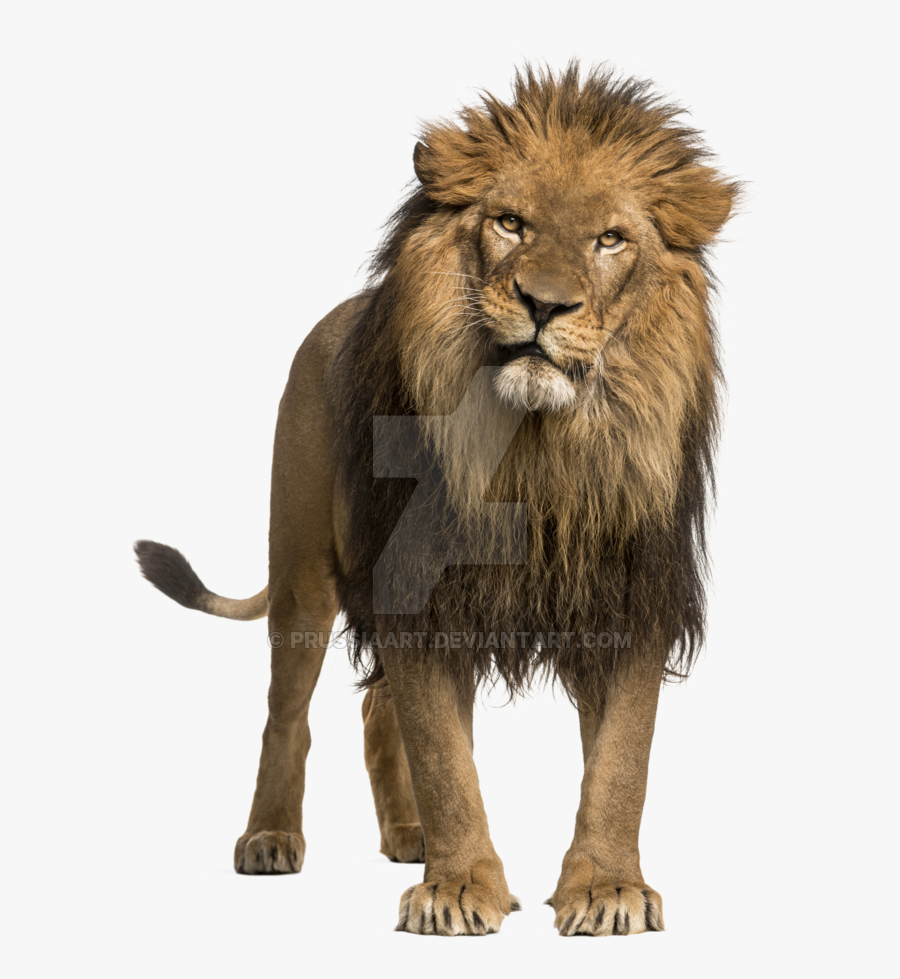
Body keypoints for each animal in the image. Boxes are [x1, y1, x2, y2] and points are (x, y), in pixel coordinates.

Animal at [136, 64, 738, 936]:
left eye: (610, 240)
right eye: (511, 223)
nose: (545, 304)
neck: (535, 452)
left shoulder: (629, 593)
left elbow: (622, 760)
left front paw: (606, 887)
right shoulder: (418, 588)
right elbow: (445, 756)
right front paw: (459, 889)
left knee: (375, 711)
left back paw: (408, 833)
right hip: (302, 574)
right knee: (288, 714)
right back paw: (271, 836)